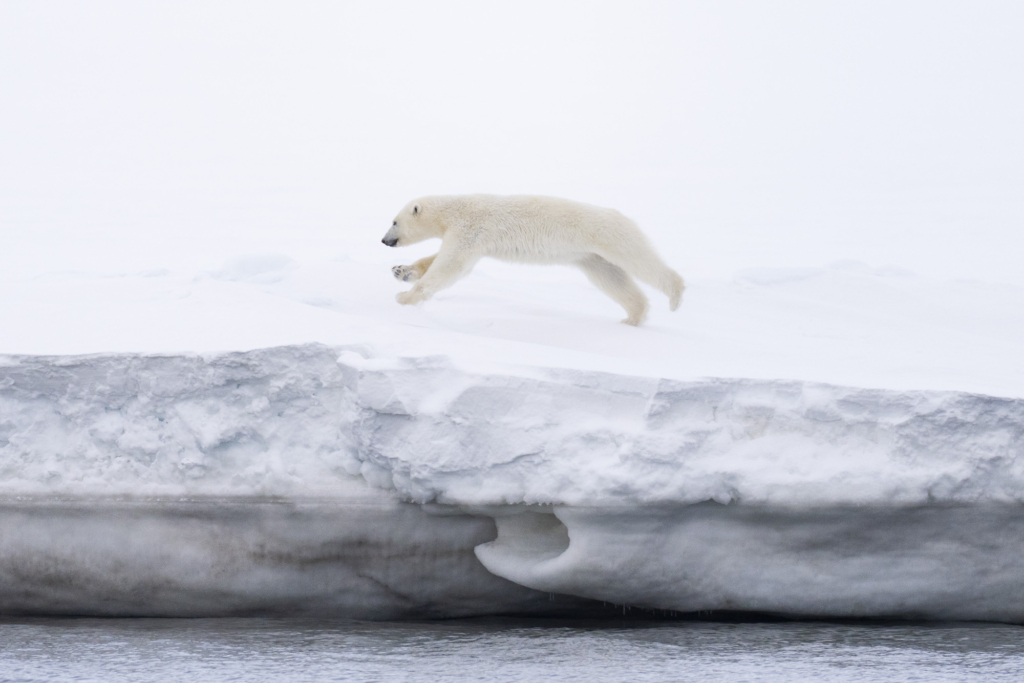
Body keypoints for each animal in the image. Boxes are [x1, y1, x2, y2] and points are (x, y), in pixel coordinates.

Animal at [380, 192, 684, 325]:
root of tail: (623, 216)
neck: (457, 209)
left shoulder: (471, 230)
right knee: (611, 277)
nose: (384, 240)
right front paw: (401, 271)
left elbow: (450, 266)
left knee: (639, 260)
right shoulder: (472, 237)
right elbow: (442, 260)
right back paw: (632, 317)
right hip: (591, 255)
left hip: (610, 237)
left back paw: (675, 293)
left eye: (394, 221)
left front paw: (404, 298)